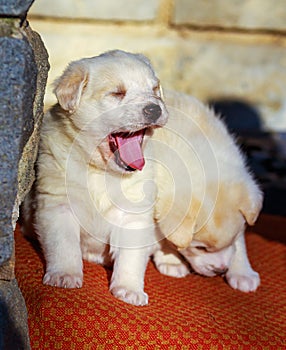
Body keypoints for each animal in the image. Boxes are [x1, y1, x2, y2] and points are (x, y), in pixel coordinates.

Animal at [26, 50, 169, 306]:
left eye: (154, 90)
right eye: (117, 93)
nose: (154, 109)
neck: (100, 171)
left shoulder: (134, 215)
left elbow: (131, 257)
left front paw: (128, 289)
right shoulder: (57, 204)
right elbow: (64, 245)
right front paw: (65, 276)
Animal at [153, 90, 262, 292]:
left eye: (232, 239)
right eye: (200, 248)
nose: (221, 270)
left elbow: (239, 244)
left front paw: (242, 272)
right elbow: (164, 237)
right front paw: (171, 260)